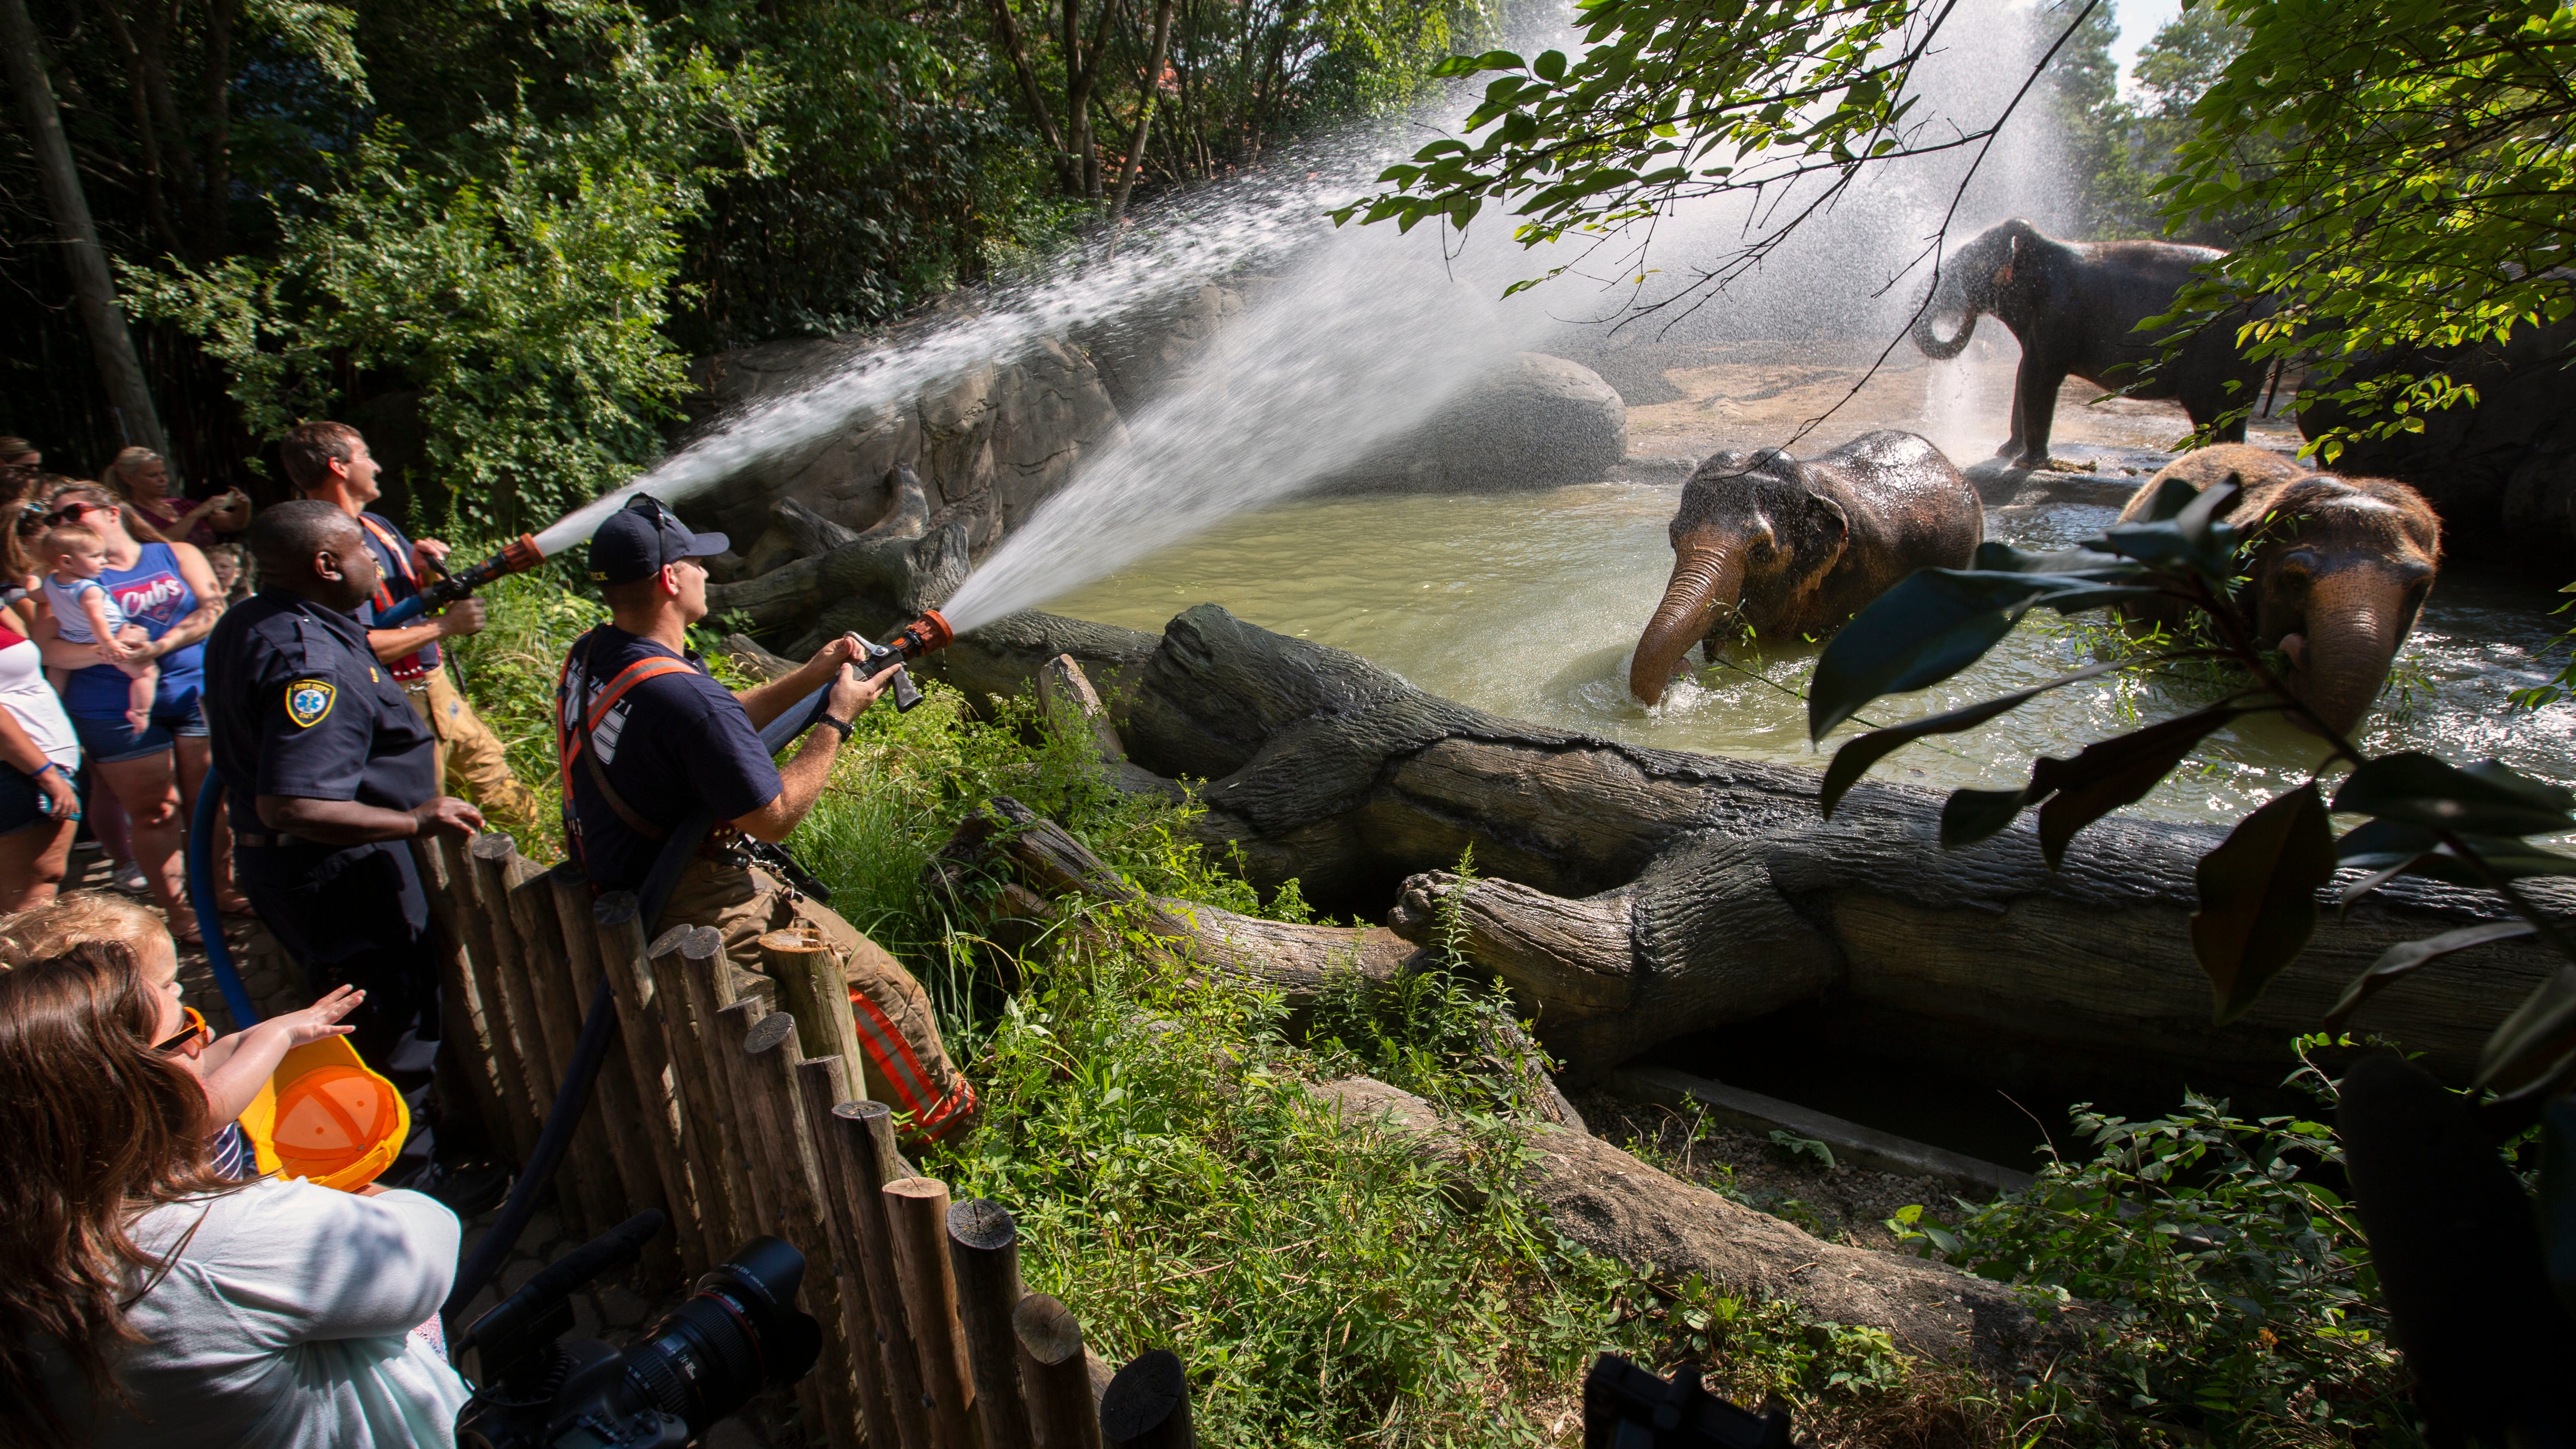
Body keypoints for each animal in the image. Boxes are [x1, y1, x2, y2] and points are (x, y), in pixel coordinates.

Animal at [1912, 219, 2270, 468]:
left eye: (1966, 267)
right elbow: (2023, 372)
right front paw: (2006, 453)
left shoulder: (2058, 313)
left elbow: (2038, 376)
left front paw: (2026, 463)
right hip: (2249, 355)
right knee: (2239, 410)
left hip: (2212, 346)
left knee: (2206, 409)